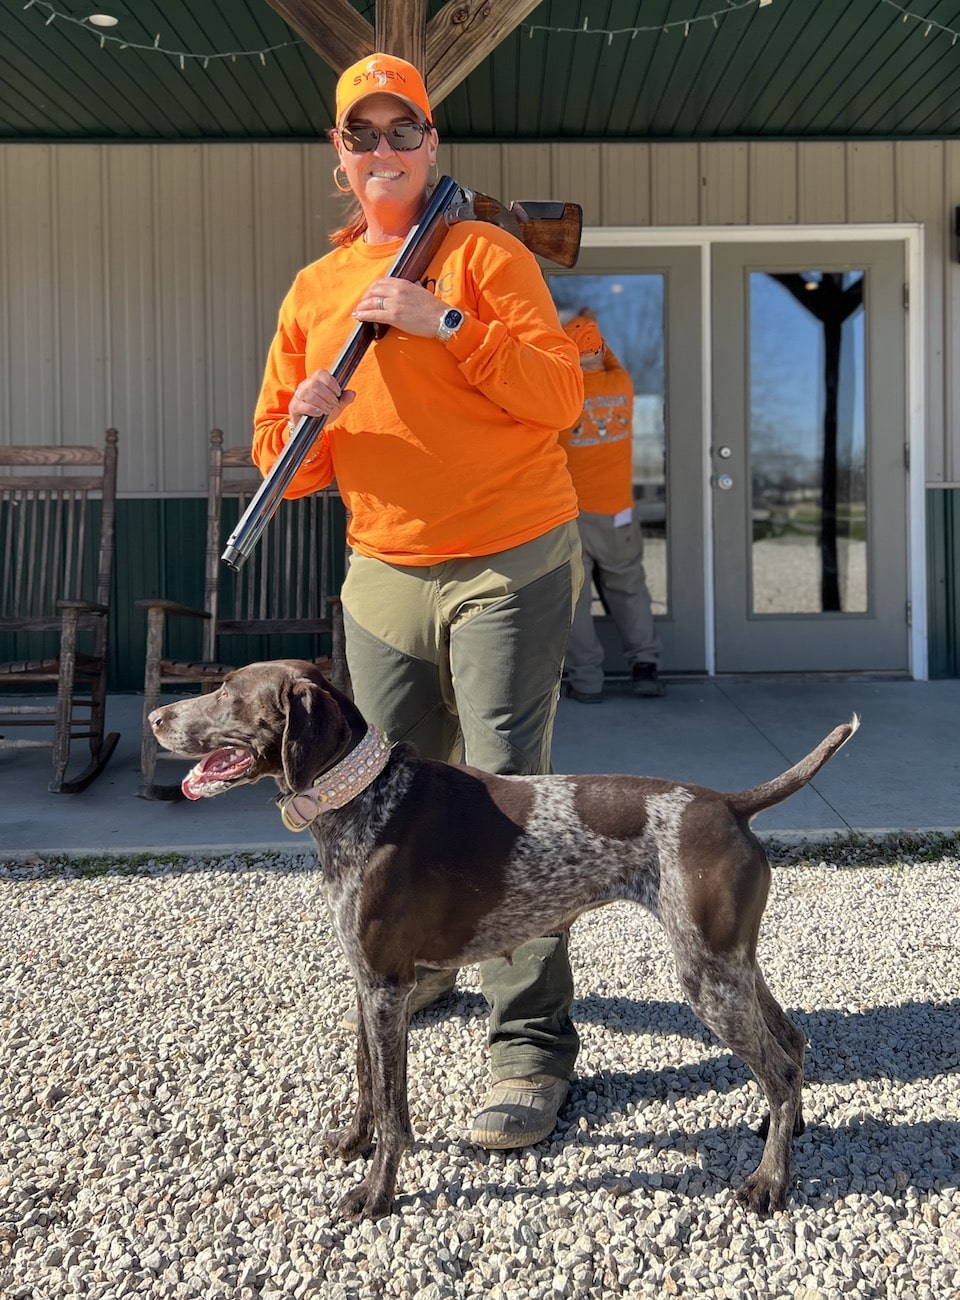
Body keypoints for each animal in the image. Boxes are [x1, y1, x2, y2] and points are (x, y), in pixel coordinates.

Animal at [147, 660, 853, 1216]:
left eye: (227, 692)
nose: (155, 716)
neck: (364, 797)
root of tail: (729, 803)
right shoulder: (367, 982)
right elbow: (367, 1080)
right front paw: (352, 1145)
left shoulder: (386, 988)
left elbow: (393, 1107)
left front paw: (377, 1192)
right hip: (729, 962)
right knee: (791, 1045)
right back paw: (782, 1130)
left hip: (707, 975)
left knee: (780, 1068)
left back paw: (770, 1182)